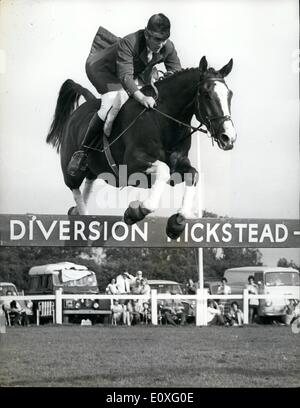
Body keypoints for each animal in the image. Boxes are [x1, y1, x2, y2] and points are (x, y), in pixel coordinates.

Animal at [46, 55, 237, 239]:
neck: (163, 120)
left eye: (230, 94)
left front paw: (176, 224)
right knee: (75, 186)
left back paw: (77, 213)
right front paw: (136, 211)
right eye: (206, 94)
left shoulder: (178, 167)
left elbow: (193, 174)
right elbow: (163, 170)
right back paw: (84, 219)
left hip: (94, 169)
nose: (229, 137)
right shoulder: (131, 165)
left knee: (88, 184)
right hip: (71, 171)